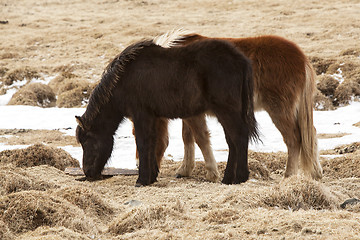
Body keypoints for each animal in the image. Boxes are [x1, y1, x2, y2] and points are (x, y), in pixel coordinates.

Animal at [74, 35, 258, 186]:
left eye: (87, 141)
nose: (88, 172)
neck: (123, 79)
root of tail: (240, 60)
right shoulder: (153, 117)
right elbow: (153, 143)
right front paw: (151, 177)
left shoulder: (142, 115)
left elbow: (143, 143)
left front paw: (142, 180)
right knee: (232, 141)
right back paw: (227, 178)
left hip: (227, 111)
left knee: (239, 137)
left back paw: (240, 177)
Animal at [136, 31, 324, 183]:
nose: (138, 165)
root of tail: (301, 58)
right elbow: (187, 138)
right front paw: (185, 170)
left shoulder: (193, 114)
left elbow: (201, 138)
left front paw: (212, 173)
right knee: (311, 134)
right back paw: (315, 173)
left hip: (279, 110)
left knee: (293, 139)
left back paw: (288, 176)